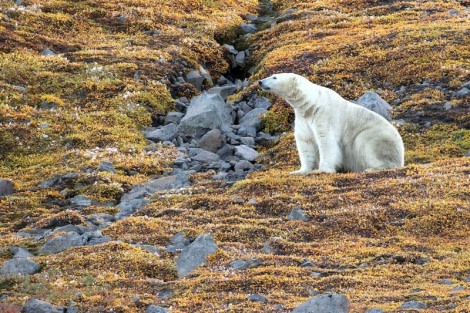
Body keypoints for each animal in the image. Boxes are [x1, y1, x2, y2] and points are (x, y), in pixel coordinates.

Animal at [258, 74, 404, 174]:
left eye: (274, 77)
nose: (260, 81)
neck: (310, 104)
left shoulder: (324, 114)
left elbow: (326, 140)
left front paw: (322, 170)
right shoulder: (303, 119)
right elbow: (305, 142)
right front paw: (299, 171)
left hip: (376, 137)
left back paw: (372, 168)